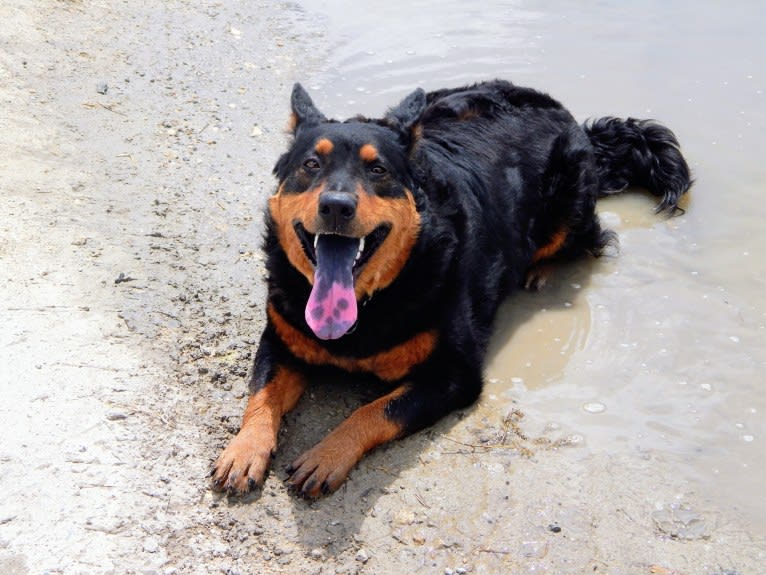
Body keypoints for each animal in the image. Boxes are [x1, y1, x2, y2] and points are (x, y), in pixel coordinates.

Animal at [210, 79, 696, 498]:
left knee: (585, 240)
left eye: (378, 169)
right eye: (311, 164)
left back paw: (539, 269)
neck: (369, 304)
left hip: (570, 204)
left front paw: (326, 456)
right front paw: (244, 451)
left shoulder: (455, 374)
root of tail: (568, 117)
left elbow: (376, 410)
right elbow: (261, 395)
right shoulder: (280, 338)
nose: (336, 205)